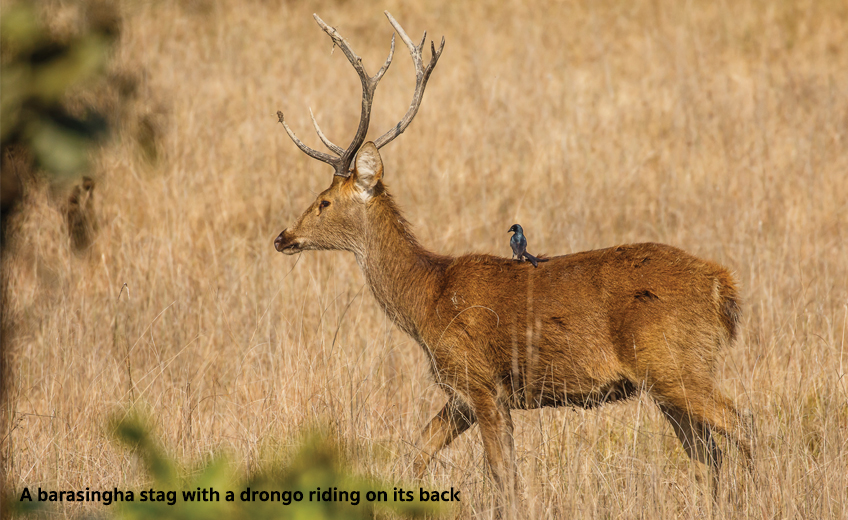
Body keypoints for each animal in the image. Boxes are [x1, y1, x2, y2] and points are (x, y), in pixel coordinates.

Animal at [274, 11, 756, 512]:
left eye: (324, 201)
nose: (283, 237)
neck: (425, 300)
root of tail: (722, 286)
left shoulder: (478, 379)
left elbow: (503, 473)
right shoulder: (464, 394)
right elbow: (420, 448)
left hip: (674, 362)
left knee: (742, 425)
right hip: (668, 378)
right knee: (707, 453)